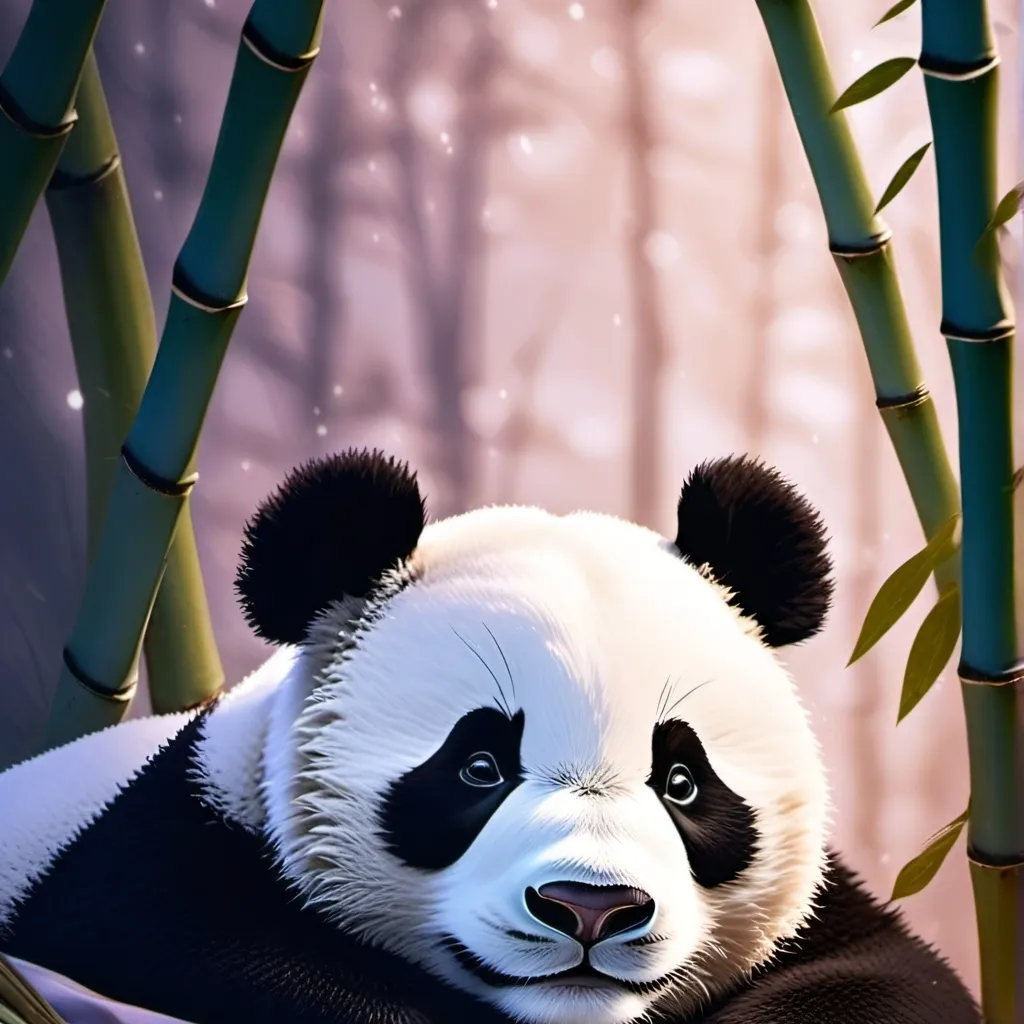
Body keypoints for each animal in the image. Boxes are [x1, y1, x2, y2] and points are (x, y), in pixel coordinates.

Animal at [0, 448, 979, 1024]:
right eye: (477, 767)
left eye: (683, 781)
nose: (592, 907)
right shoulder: (162, 868)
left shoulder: (823, 923)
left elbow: (886, 980)